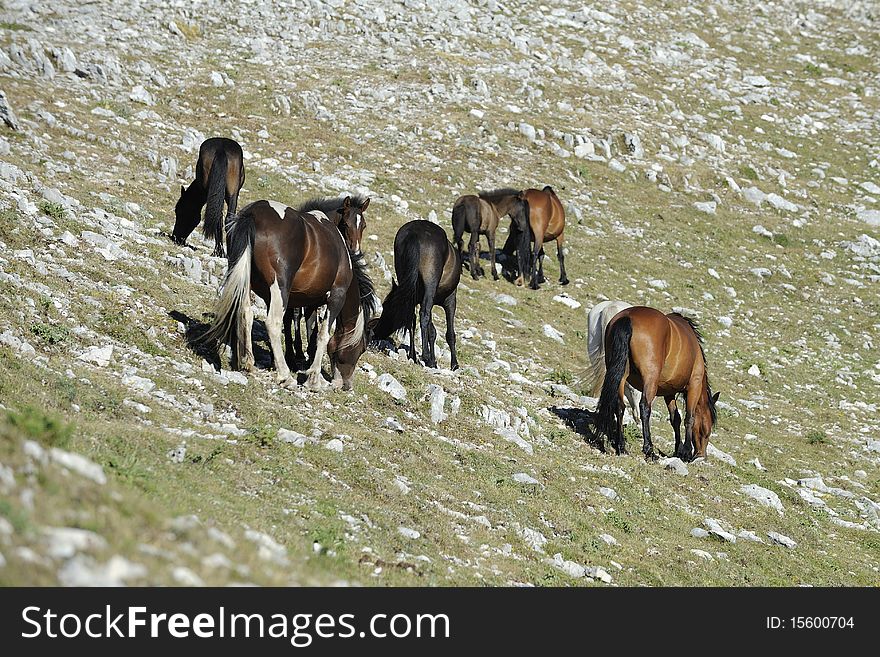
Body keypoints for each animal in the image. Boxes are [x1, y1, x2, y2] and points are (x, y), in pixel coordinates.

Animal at [198, 200, 352, 390]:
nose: (345, 383)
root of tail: (253, 214)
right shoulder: (336, 296)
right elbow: (322, 335)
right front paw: (314, 379)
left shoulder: (306, 301)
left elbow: (311, 333)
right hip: (280, 289)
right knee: (273, 323)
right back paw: (285, 376)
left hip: (247, 282)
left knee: (246, 313)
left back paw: (248, 362)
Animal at [372, 220, 460, 368]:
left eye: (387, 307)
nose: (376, 332)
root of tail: (413, 233)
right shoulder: (450, 300)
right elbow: (449, 333)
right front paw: (454, 364)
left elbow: (431, 330)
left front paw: (433, 361)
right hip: (431, 283)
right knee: (423, 314)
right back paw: (425, 356)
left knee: (411, 317)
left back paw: (413, 355)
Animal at [592, 306, 720, 462]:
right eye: (707, 429)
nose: (702, 456)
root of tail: (627, 317)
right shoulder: (694, 386)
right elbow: (689, 418)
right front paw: (686, 452)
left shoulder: (669, 392)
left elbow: (675, 419)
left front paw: (678, 450)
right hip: (650, 378)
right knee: (644, 407)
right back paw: (649, 450)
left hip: (620, 374)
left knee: (620, 406)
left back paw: (621, 447)